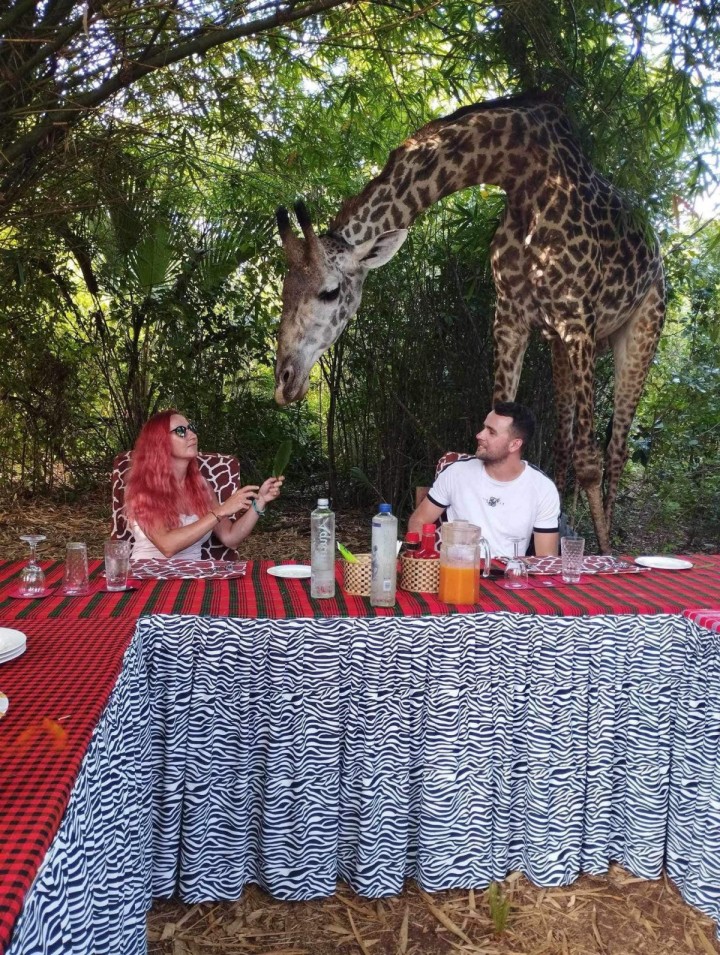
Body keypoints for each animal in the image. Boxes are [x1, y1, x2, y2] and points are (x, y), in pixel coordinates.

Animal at [274, 94, 664, 552]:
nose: (284, 380)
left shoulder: (577, 319)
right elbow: (502, 414)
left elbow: (591, 460)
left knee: (615, 449)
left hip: (639, 329)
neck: (522, 171)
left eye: (330, 291)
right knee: (565, 443)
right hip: (558, 344)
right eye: (284, 290)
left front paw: (602, 552)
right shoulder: (512, 317)